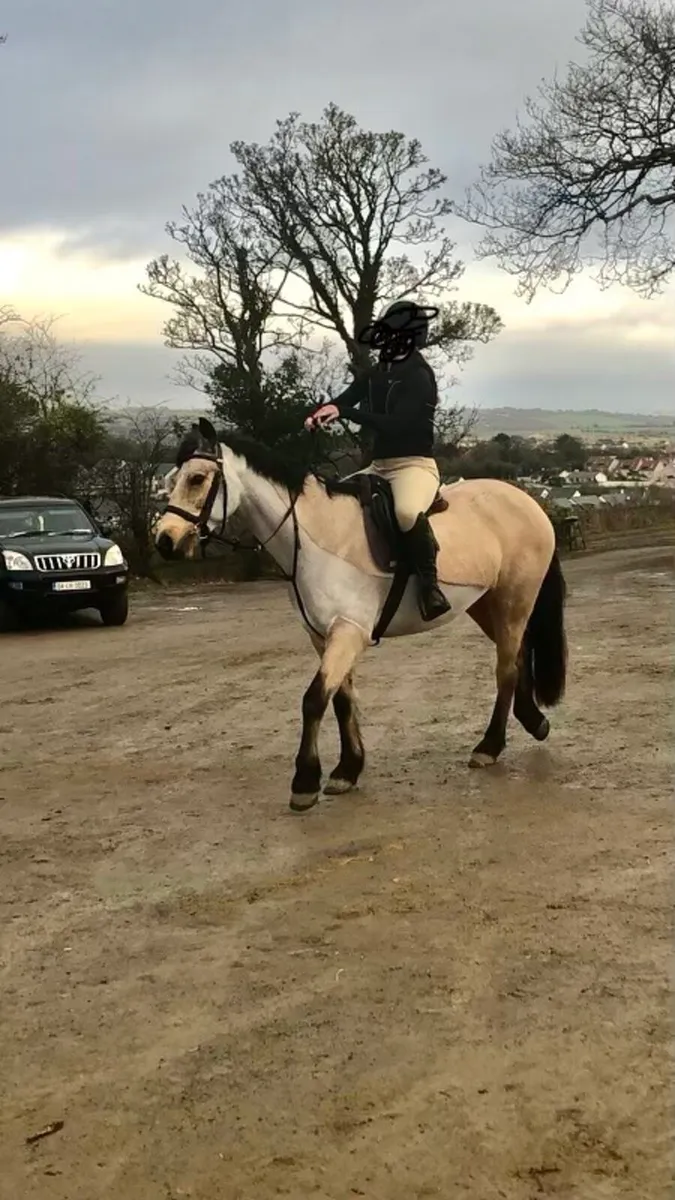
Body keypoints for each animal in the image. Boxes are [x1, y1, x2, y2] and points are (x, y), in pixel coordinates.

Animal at [155, 418, 567, 812]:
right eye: (171, 479)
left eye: (196, 478)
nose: (165, 540)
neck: (317, 538)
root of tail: (526, 501)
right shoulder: (323, 635)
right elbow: (341, 699)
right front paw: (347, 770)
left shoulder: (349, 631)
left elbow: (314, 699)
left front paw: (305, 783)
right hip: (486, 604)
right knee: (518, 653)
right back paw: (534, 722)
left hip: (514, 599)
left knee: (506, 668)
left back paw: (489, 746)